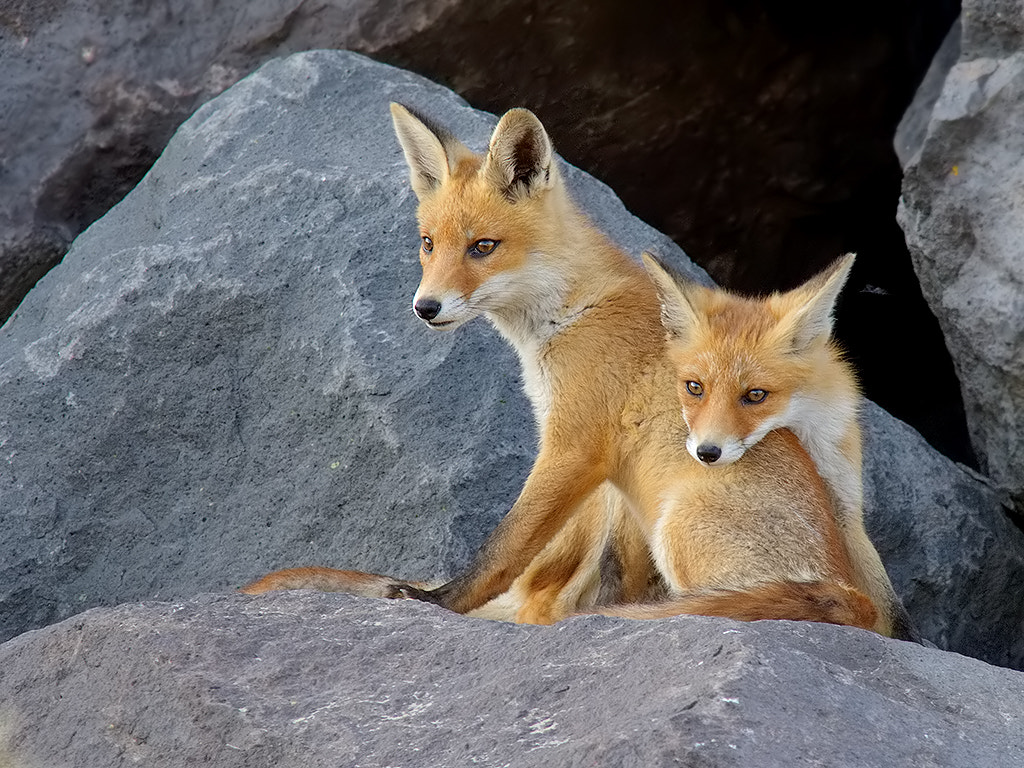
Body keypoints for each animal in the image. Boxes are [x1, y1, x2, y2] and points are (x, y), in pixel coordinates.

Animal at [244, 103, 912, 638]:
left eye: (482, 247)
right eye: (428, 244)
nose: (424, 307)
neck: (569, 316)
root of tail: (848, 593)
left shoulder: (572, 446)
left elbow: (501, 549)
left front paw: (438, 604)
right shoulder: (594, 472)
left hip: (679, 522)